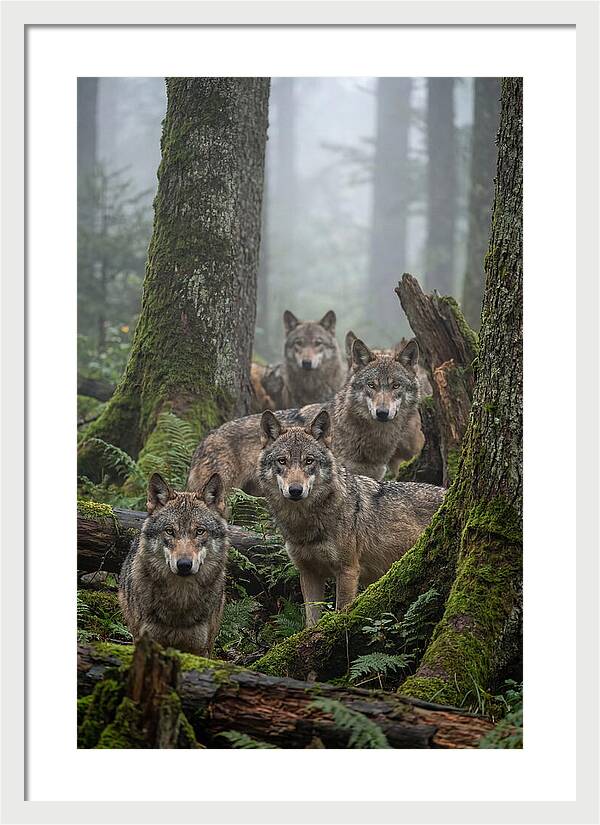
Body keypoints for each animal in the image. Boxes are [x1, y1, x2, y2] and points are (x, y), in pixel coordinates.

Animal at [258, 409, 445, 626]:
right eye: (282, 461)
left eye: (309, 461)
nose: (295, 490)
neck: (304, 524)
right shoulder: (308, 573)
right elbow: (311, 621)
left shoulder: (347, 571)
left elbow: (341, 612)